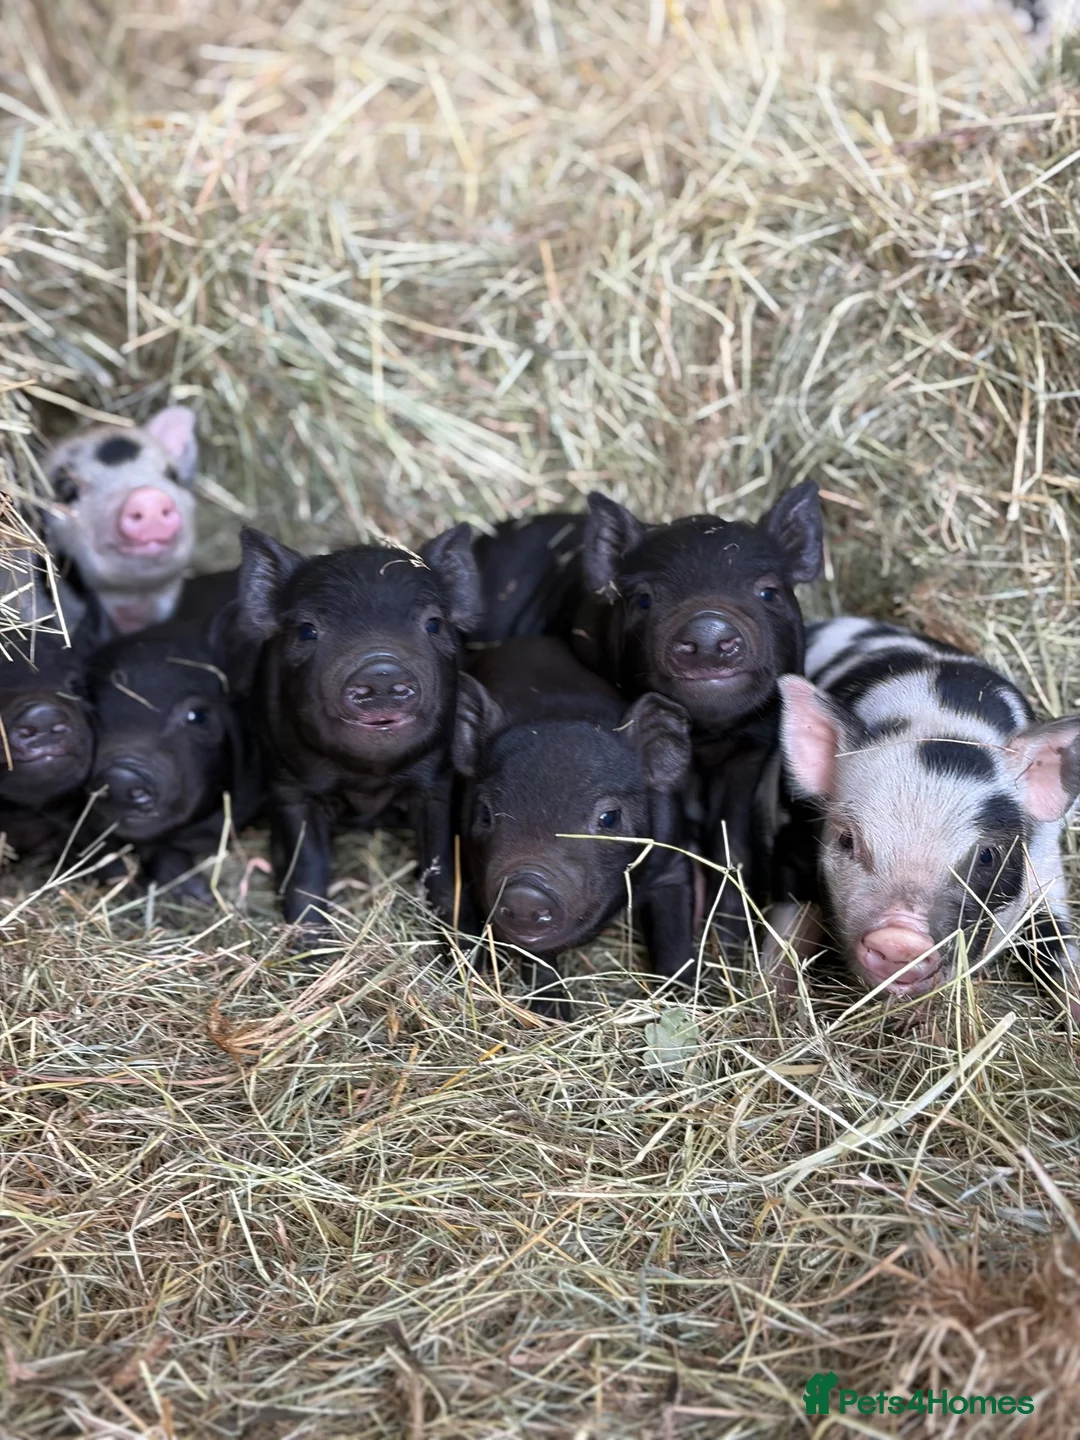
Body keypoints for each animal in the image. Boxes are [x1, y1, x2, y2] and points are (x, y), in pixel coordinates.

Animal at [235, 525, 482, 928]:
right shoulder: (289, 788)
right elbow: (307, 875)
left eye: (434, 624)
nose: (381, 672)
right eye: (307, 631)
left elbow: (443, 870)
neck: (368, 783)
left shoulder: (438, 785)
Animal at [453, 638, 694, 1017]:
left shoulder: (672, 861)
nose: (524, 892)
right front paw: (553, 1014)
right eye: (486, 813)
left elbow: (675, 937)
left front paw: (683, 999)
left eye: (609, 817)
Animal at [777, 617, 1080, 1015]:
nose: (900, 939)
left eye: (988, 856)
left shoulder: (1047, 870)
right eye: (847, 839)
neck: (946, 722)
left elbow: (1061, 945)